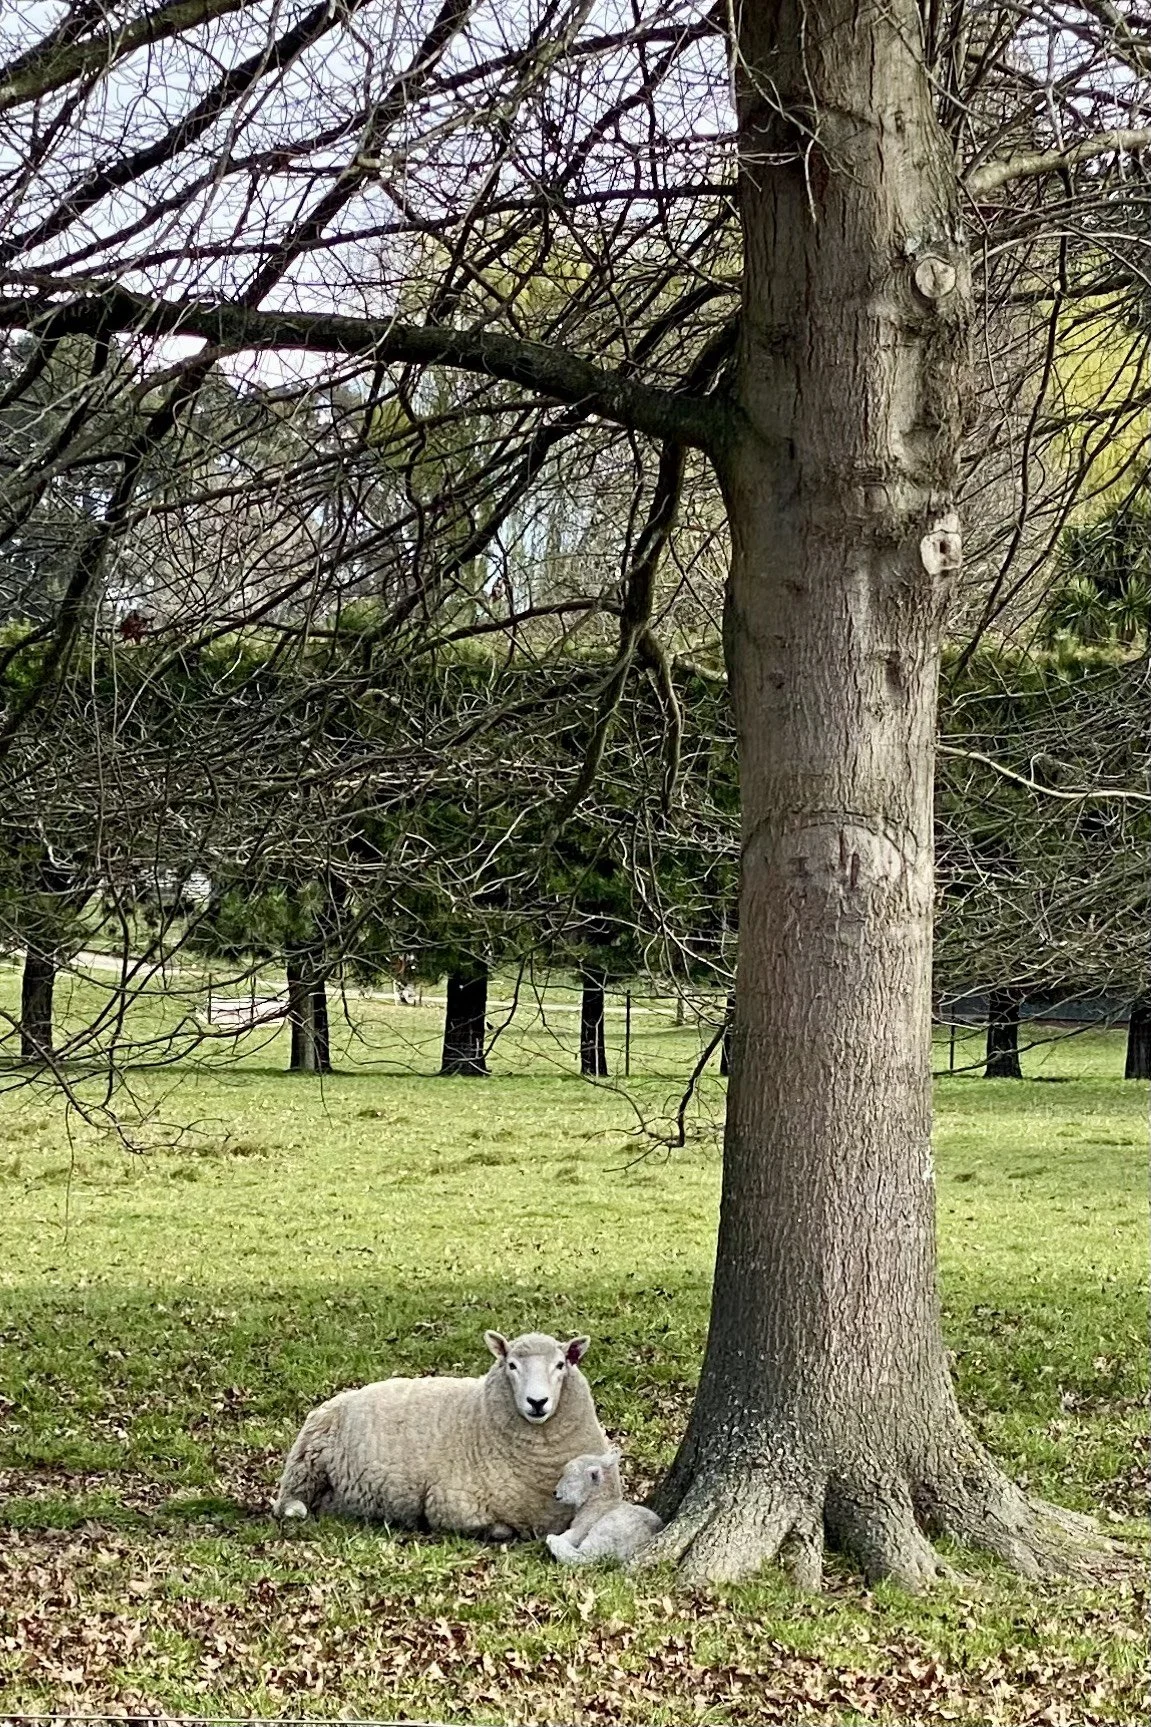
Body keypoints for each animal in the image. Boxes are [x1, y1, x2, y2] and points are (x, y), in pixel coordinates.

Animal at [272, 1328, 607, 1539]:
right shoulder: (452, 1505)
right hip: (305, 1465)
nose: (537, 1402)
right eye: (511, 1365)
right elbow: (500, 1530)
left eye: (560, 1365)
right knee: (289, 1502)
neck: (479, 1417)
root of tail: (338, 1399)